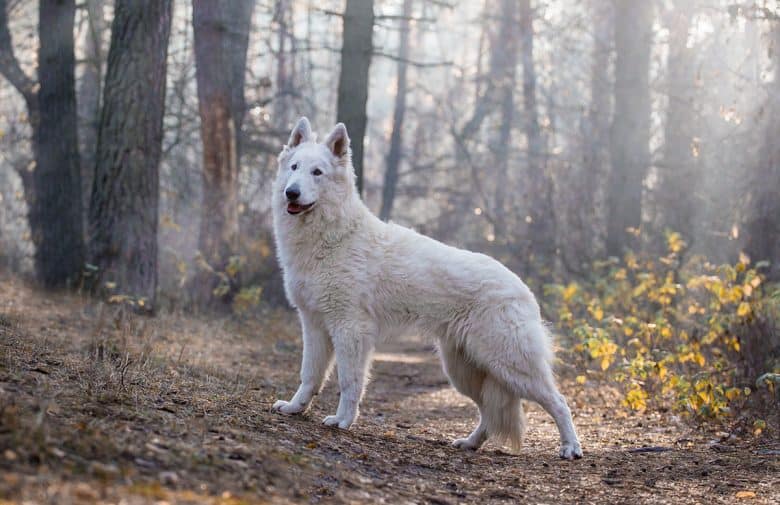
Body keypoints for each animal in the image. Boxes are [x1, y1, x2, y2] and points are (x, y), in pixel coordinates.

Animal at [272, 117, 580, 456]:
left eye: (318, 172)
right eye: (295, 167)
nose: (291, 193)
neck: (334, 236)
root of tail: (524, 290)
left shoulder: (350, 329)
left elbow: (349, 382)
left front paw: (342, 421)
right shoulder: (314, 325)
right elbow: (309, 376)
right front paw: (295, 408)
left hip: (510, 365)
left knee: (559, 401)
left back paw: (571, 447)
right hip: (464, 370)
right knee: (489, 412)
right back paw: (470, 443)